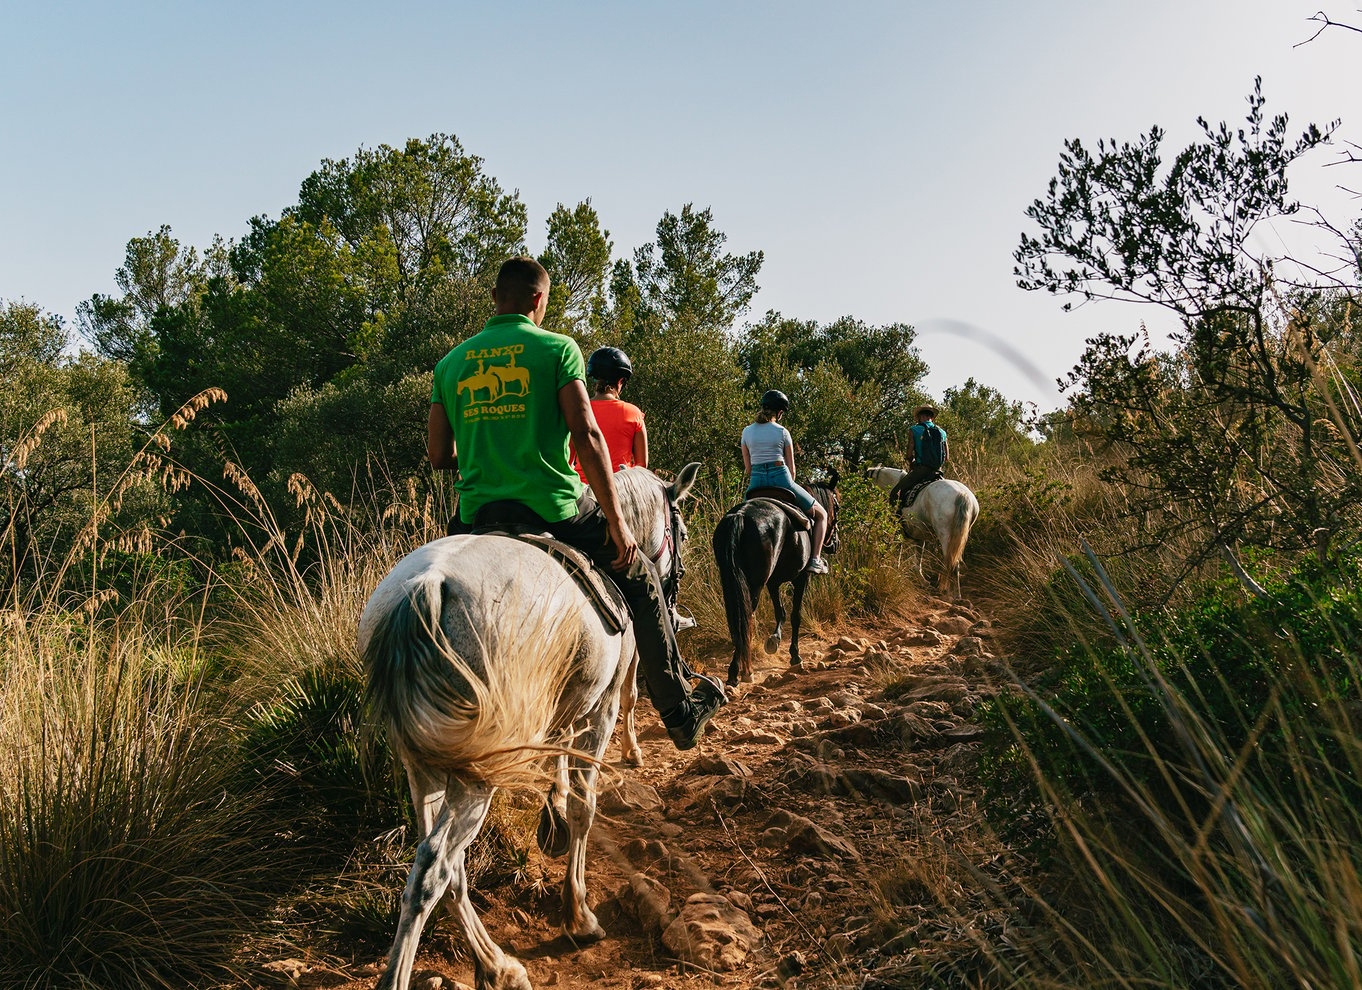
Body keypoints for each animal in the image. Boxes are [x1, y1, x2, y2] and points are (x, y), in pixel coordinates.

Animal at [359, 465, 697, 990]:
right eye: (678, 527)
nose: (675, 584)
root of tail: (425, 589)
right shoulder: (600, 708)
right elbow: (585, 806)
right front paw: (578, 914)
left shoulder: (564, 704)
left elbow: (560, 761)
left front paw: (551, 815)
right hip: (477, 770)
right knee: (434, 867)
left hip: (425, 760)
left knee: (448, 867)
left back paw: (496, 964)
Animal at [713, 471, 838, 689]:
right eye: (837, 507)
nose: (835, 543)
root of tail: (740, 516)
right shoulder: (801, 578)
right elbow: (795, 615)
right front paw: (795, 655)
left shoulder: (773, 582)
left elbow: (780, 612)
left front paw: (774, 641)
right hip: (754, 584)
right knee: (746, 618)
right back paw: (741, 672)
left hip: (732, 581)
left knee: (739, 620)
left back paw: (737, 671)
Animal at [860, 468, 980, 599]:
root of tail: (962, 495)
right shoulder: (919, 538)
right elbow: (917, 562)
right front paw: (923, 582)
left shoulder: (897, 532)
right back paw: (956, 594)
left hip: (945, 535)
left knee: (952, 563)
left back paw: (951, 595)